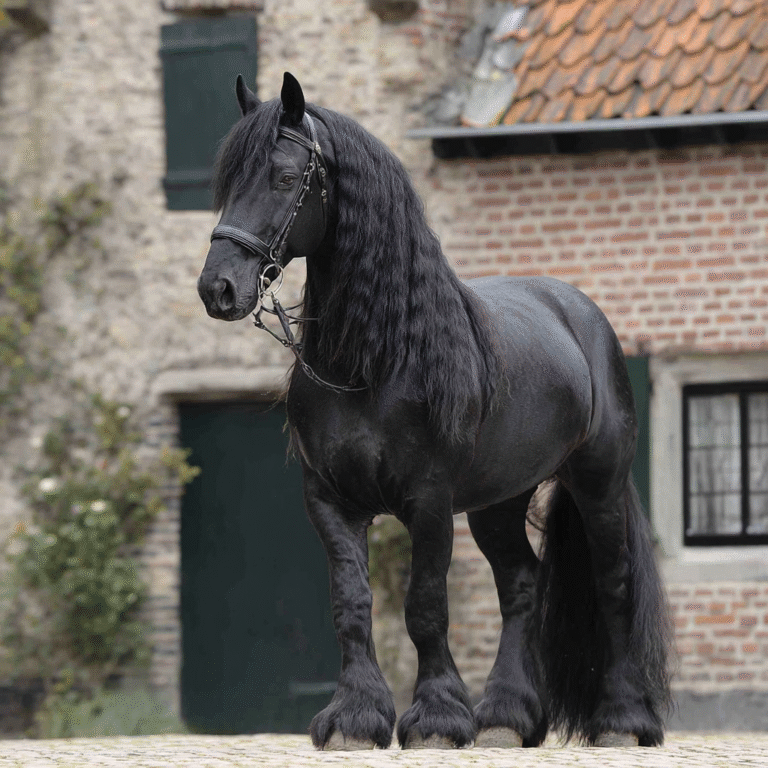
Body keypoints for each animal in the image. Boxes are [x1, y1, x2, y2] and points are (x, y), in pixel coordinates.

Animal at [197, 72, 672, 750]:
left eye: (285, 179)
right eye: (228, 183)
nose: (218, 289)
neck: (371, 363)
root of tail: (582, 315)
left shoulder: (428, 500)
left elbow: (425, 606)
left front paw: (438, 719)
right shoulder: (329, 501)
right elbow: (352, 605)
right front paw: (355, 718)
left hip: (597, 482)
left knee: (614, 583)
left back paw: (623, 721)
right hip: (499, 501)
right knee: (521, 585)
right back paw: (505, 717)